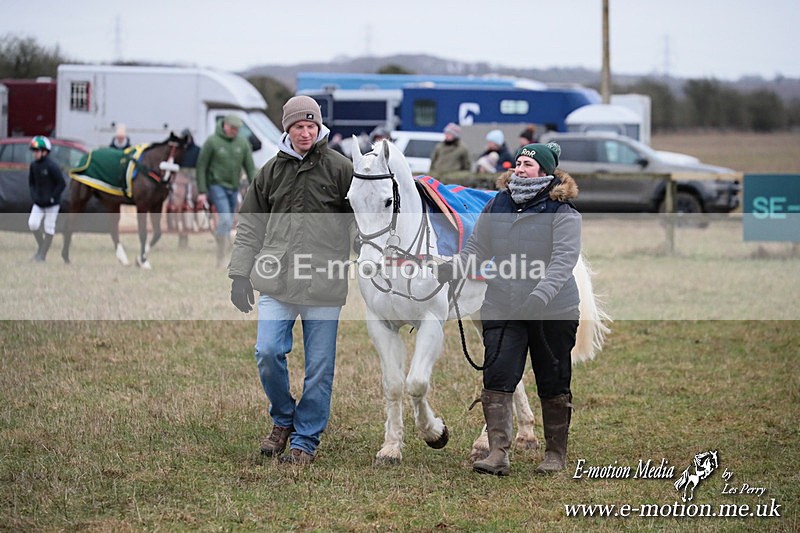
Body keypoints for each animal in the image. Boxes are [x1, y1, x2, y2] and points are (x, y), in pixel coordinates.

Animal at [61, 132, 189, 268]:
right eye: (168, 151)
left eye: (181, 153)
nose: (166, 176)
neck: (149, 169)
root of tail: (84, 158)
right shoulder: (142, 205)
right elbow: (143, 233)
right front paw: (142, 261)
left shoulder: (156, 205)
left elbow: (157, 233)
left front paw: (141, 259)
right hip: (79, 200)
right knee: (70, 224)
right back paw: (66, 257)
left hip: (112, 202)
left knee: (113, 229)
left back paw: (122, 258)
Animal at [348, 138, 610, 464]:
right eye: (351, 201)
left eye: (387, 201)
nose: (368, 265)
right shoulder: (381, 325)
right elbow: (394, 385)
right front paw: (391, 447)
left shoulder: (431, 324)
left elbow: (417, 382)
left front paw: (435, 433)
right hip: (484, 317)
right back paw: (521, 433)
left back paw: (487, 442)